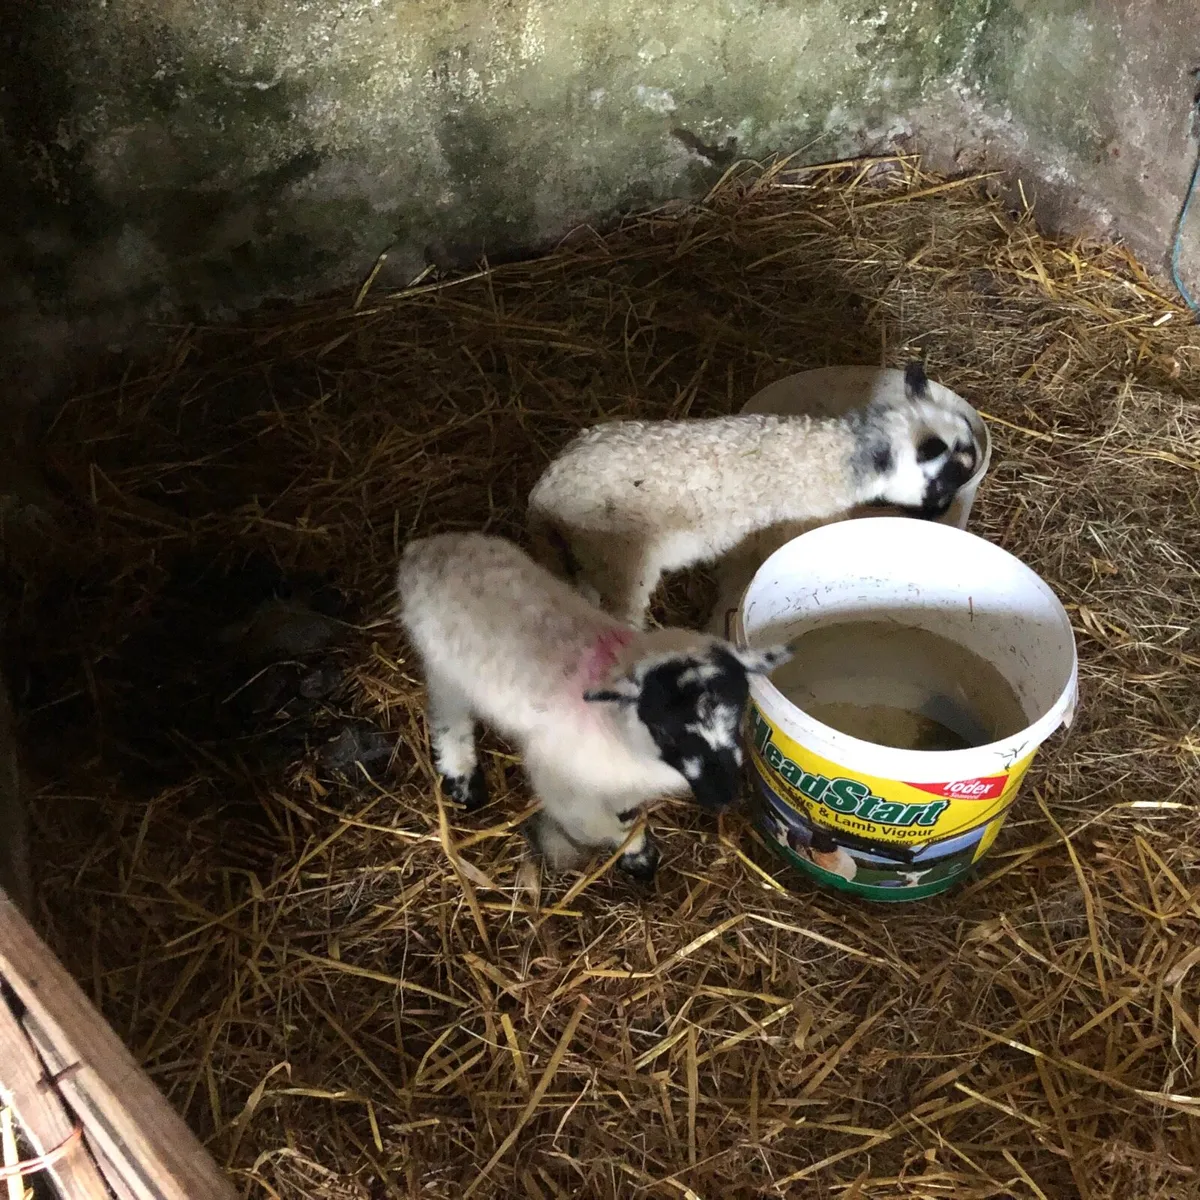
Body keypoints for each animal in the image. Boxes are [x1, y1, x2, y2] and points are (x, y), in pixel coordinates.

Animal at [396, 531, 791, 880]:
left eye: (737, 714)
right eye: (663, 729)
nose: (722, 795)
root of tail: (424, 550)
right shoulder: (561, 783)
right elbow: (596, 825)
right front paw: (636, 855)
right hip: (444, 668)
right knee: (448, 717)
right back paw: (462, 776)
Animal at [527, 361, 979, 627]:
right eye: (948, 476)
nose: (938, 513)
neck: (844, 457)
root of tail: (545, 492)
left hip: (587, 554)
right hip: (622, 559)